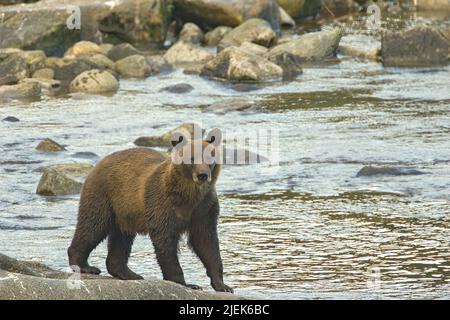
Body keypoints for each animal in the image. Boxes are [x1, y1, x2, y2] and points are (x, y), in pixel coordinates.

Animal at [69, 127, 236, 292]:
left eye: (209, 157)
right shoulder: (162, 203)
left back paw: (129, 273)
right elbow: (165, 239)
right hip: (104, 195)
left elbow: (207, 242)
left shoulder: (204, 208)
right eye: (191, 158)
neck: (188, 195)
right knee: (93, 226)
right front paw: (185, 282)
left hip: (124, 211)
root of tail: (100, 162)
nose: (202, 175)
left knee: (121, 238)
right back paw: (85, 266)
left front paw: (223, 285)